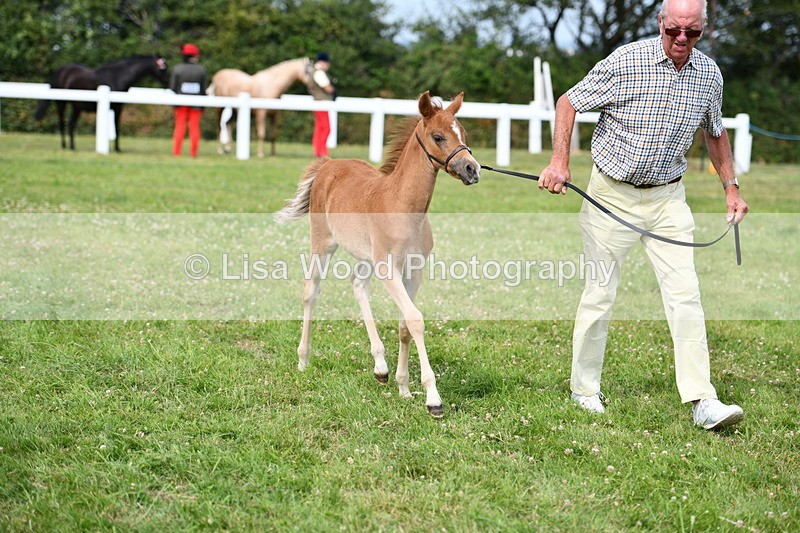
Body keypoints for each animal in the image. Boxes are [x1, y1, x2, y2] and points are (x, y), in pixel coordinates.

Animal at [34, 54, 169, 152]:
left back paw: (71, 146)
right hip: (62, 103)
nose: (168, 82)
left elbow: (116, 126)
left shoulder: (118, 107)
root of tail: (60, 71)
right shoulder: (115, 107)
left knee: (71, 124)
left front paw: (117, 148)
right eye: (163, 67)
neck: (118, 77)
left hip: (76, 107)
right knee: (63, 122)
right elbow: (116, 127)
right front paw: (117, 149)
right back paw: (66, 146)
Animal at [275, 91, 480, 417]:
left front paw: (404, 387)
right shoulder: (388, 269)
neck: (403, 207)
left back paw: (380, 368)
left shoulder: (414, 270)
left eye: (463, 133)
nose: (472, 169)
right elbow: (416, 319)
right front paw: (433, 398)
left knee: (358, 286)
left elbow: (405, 325)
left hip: (366, 257)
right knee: (311, 291)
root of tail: (328, 166)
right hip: (323, 243)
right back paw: (304, 359)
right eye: (438, 136)